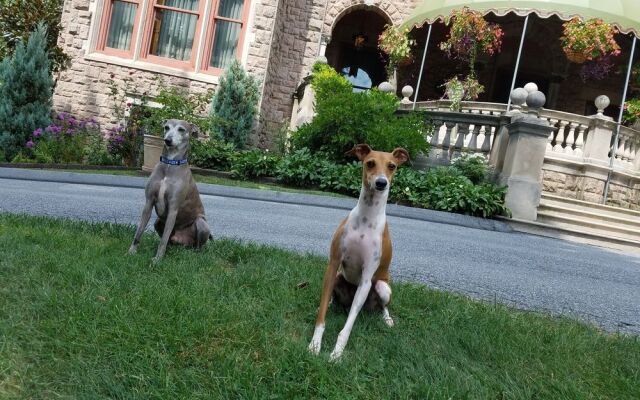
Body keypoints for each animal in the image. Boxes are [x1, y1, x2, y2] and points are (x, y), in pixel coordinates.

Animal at [129, 119, 211, 262]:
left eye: (181, 129)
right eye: (166, 127)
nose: (167, 140)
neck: (169, 165)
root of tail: (182, 241)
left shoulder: (173, 209)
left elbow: (163, 240)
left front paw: (157, 260)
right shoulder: (148, 203)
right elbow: (139, 232)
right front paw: (131, 252)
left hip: (201, 223)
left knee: (196, 245)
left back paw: (195, 254)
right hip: (158, 221)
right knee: (168, 240)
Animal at [308, 143, 408, 360]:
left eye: (392, 166)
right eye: (370, 163)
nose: (381, 183)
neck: (366, 218)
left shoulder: (366, 279)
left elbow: (347, 327)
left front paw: (336, 353)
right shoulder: (333, 265)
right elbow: (321, 316)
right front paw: (315, 344)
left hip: (381, 287)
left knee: (383, 306)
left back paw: (387, 319)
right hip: (338, 278)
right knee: (333, 298)